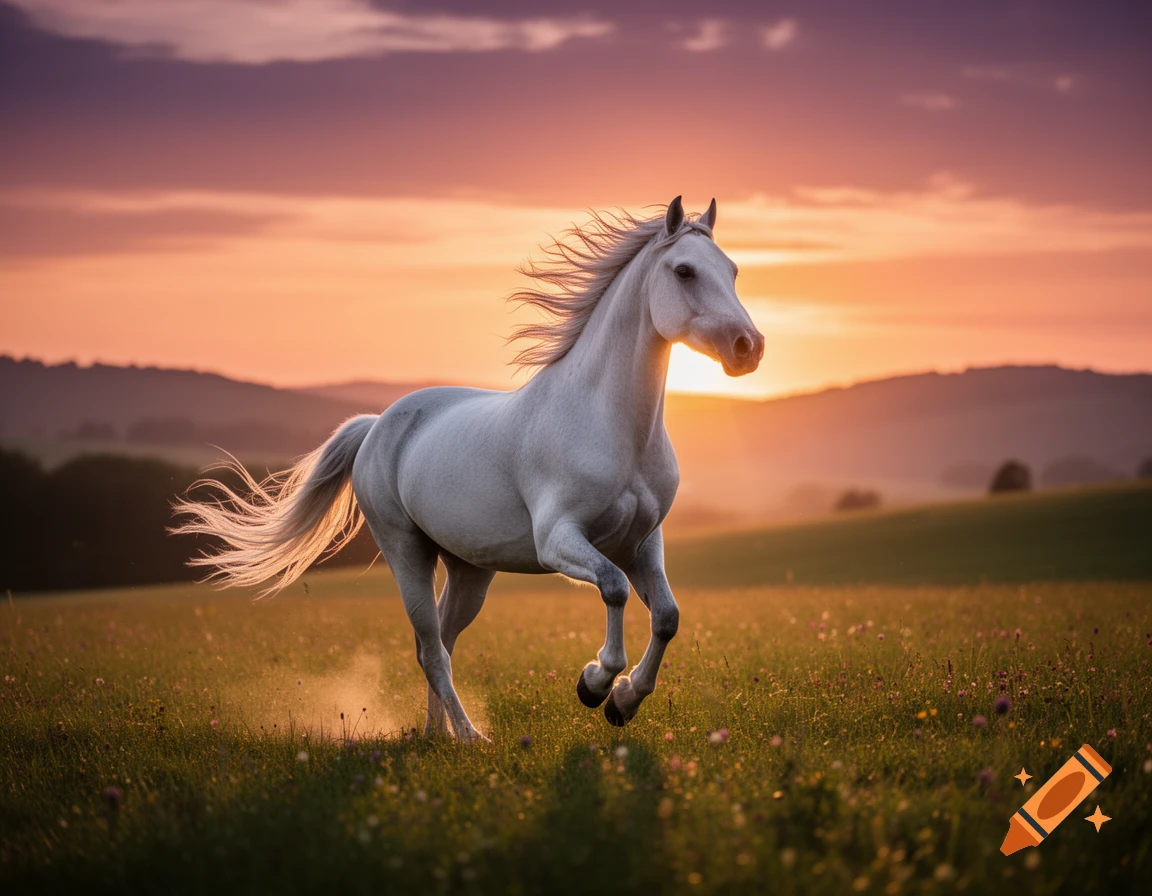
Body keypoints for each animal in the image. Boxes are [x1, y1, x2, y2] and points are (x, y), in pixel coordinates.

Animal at [173, 196, 764, 742]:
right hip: (406, 551)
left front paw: (623, 702)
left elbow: (667, 616)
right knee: (431, 647)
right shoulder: (559, 541)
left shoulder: (641, 542)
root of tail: (377, 425)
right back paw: (471, 737)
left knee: (440, 641)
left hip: (469, 569)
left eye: (733, 270)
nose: (749, 347)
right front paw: (595, 684)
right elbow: (614, 589)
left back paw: (440, 734)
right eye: (684, 271)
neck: (609, 424)